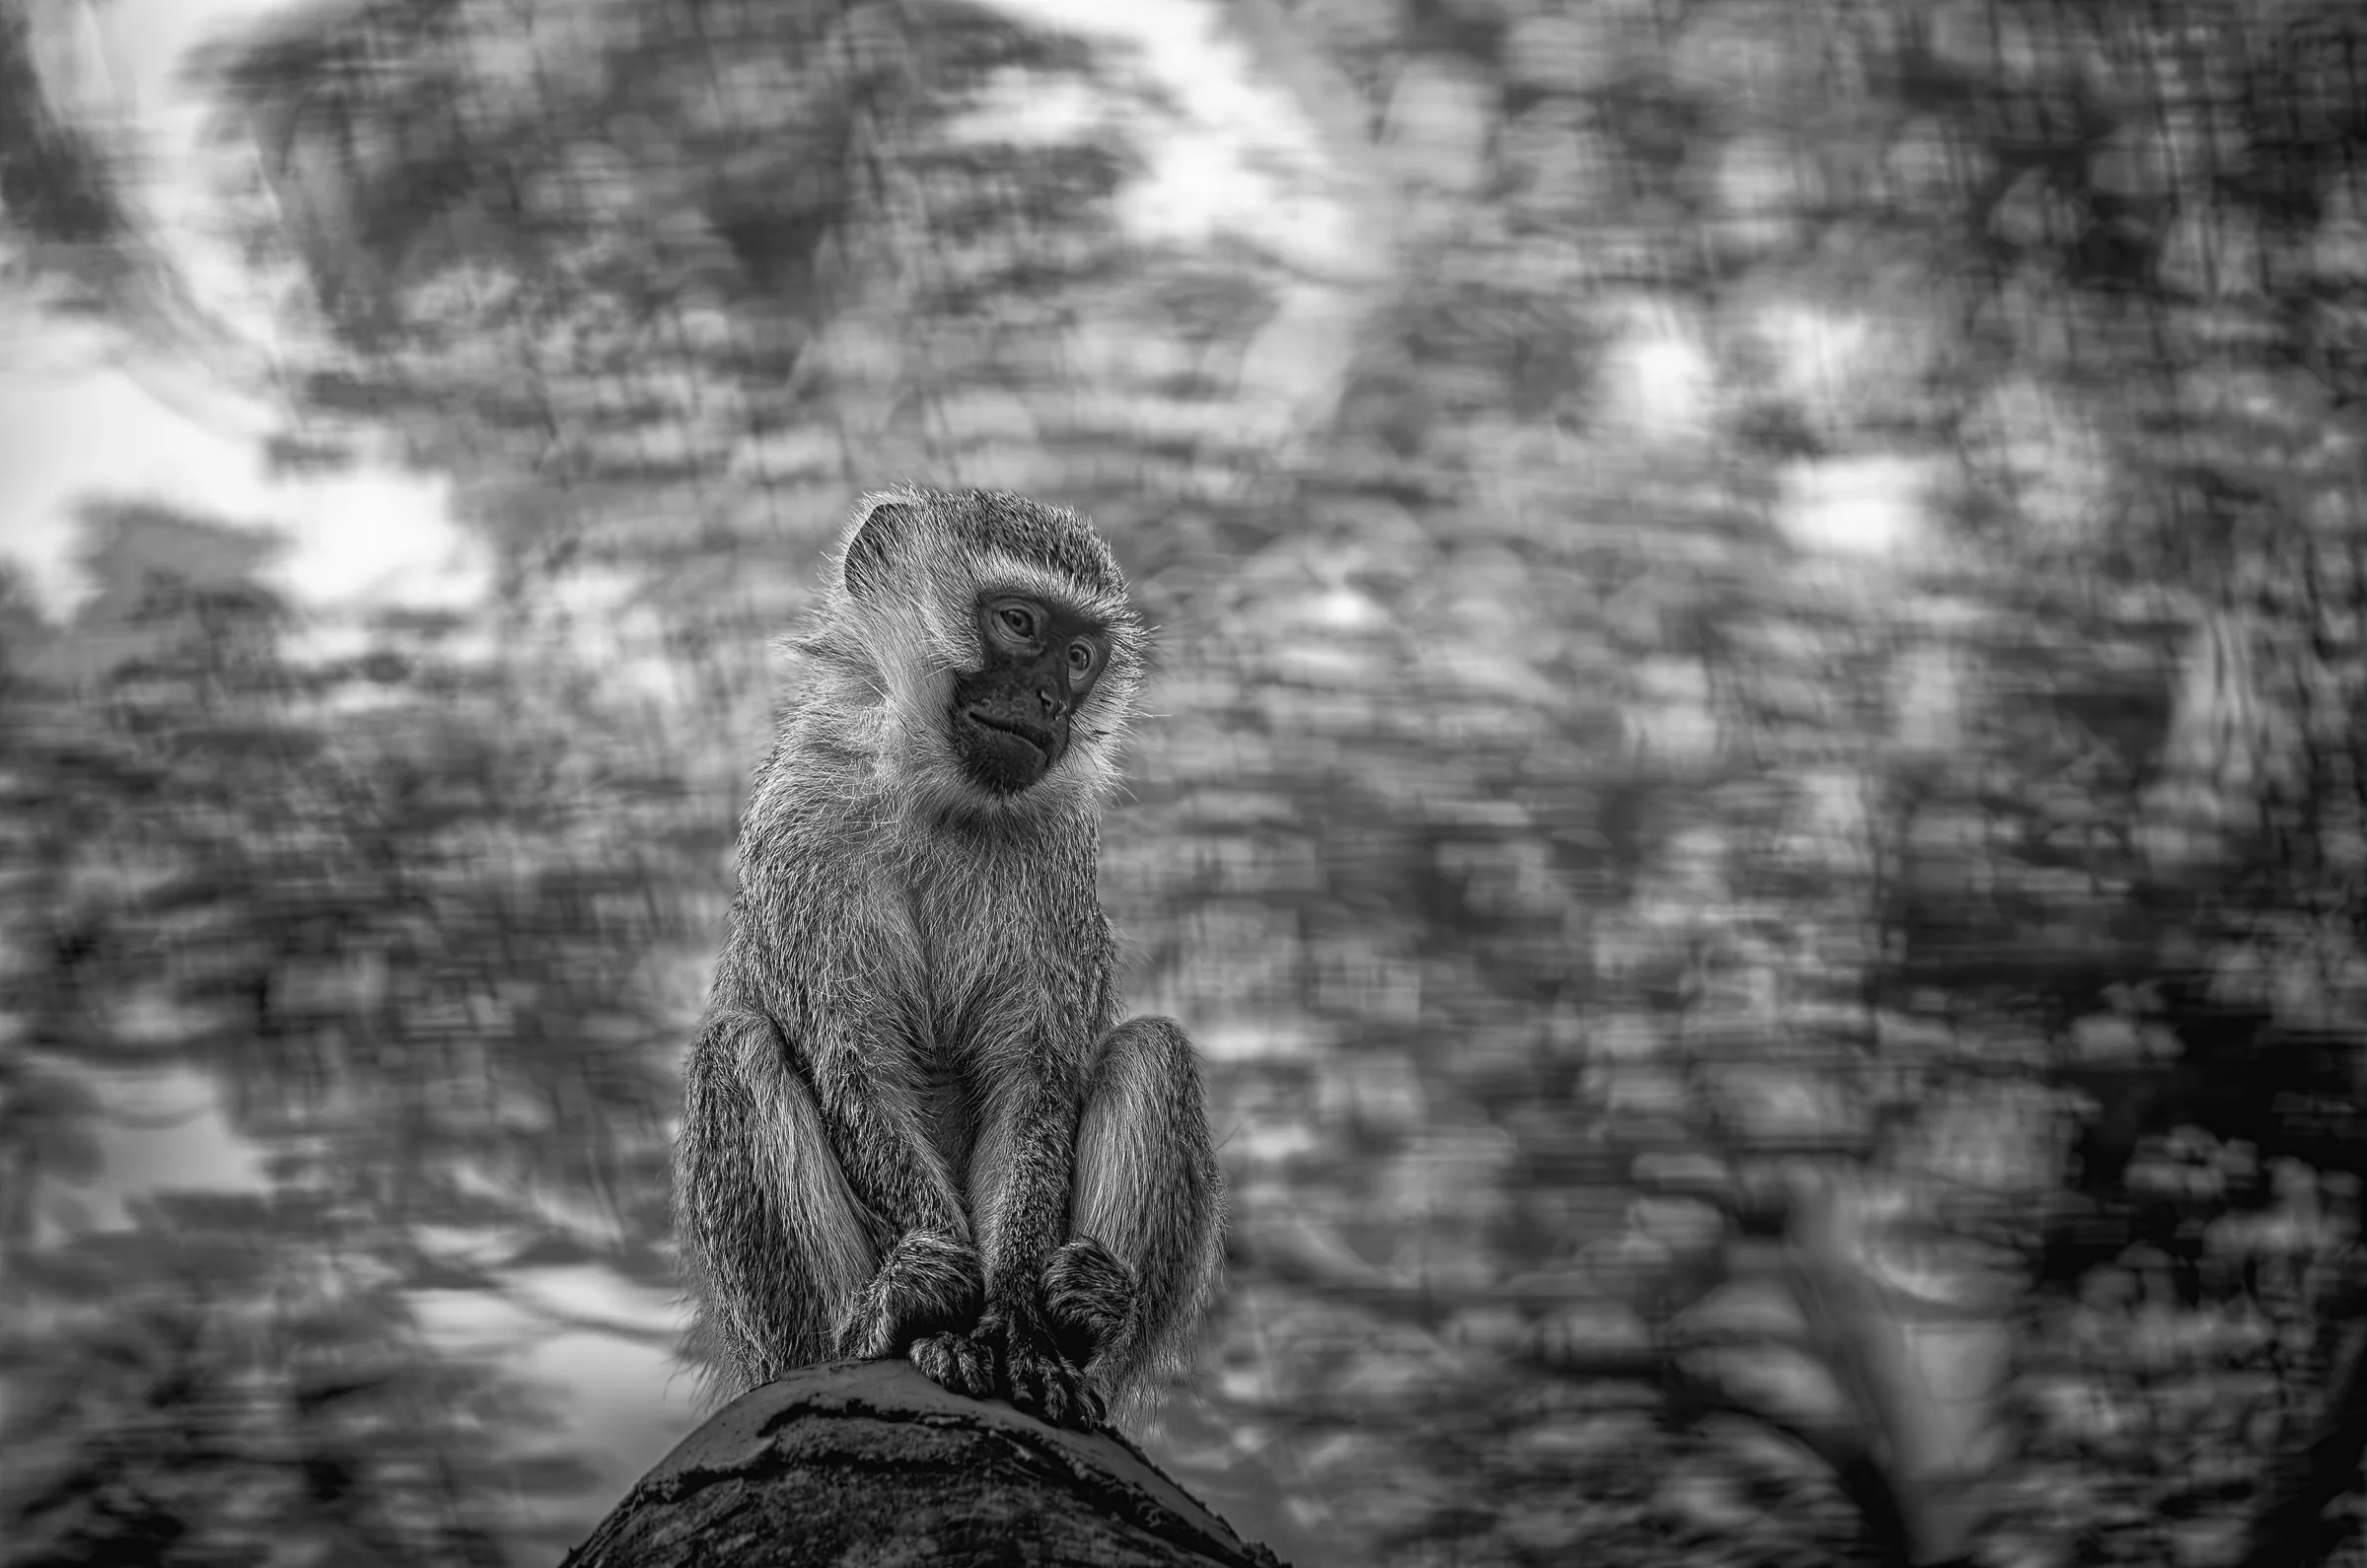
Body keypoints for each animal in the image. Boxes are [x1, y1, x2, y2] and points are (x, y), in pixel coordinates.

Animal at [672, 486, 1226, 1431]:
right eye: (1019, 622)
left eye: (1080, 657)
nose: (1048, 699)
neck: (939, 799)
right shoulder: (803, 823)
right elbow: (856, 1065)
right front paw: (947, 1319)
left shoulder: (1057, 857)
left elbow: (1029, 1087)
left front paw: (1016, 1325)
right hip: (773, 1348)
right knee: (735, 1049)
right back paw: (875, 1324)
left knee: (1155, 1051)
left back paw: (1085, 1324)